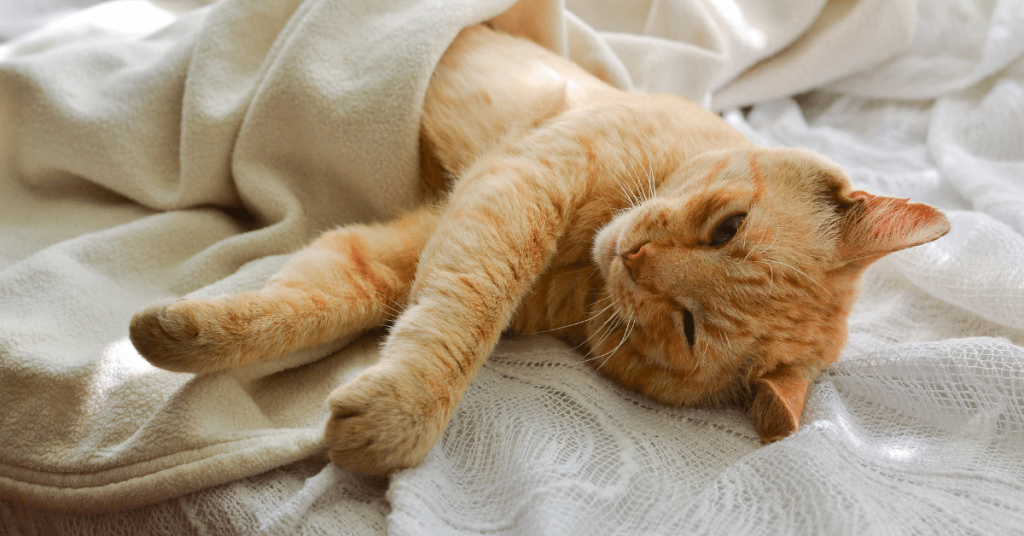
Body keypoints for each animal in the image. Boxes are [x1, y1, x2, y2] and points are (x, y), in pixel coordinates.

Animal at [128, 25, 950, 475]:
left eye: (687, 328)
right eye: (729, 229)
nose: (636, 260)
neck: (582, 263)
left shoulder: (416, 240)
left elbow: (318, 297)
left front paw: (179, 334)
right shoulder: (522, 184)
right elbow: (467, 312)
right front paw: (405, 411)